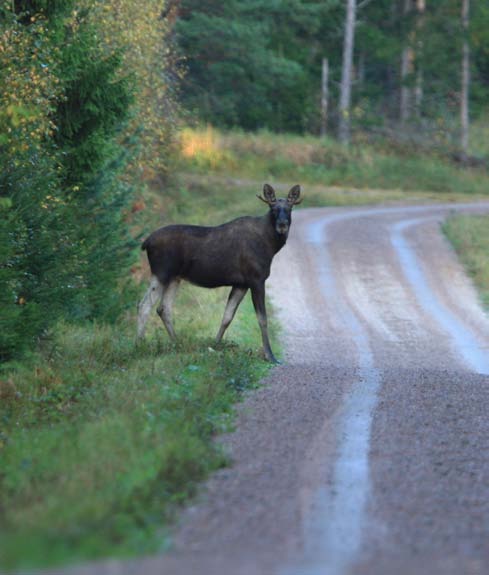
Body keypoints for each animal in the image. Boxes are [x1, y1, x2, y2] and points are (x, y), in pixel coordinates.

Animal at [135, 183, 300, 364]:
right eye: (273, 208)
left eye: (290, 208)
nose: (282, 225)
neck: (271, 246)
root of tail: (146, 242)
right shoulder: (256, 278)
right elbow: (262, 319)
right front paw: (270, 356)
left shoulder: (241, 283)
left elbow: (227, 317)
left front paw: (214, 346)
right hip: (162, 272)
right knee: (144, 305)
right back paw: (138, 346)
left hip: (174, 278)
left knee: (163, 308)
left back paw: (176, 344)